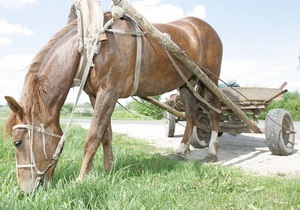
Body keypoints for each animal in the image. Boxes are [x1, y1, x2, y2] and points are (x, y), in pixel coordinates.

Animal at [3, 10, 221, 193]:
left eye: (17, 142)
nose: (25, 190)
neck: (92, 44)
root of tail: (205, 27)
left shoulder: (108, 92)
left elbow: (92, 137)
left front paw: (81, 178)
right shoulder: (96, 95)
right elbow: (105, 135)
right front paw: (107, 170)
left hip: (210, 81)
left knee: (215, 113)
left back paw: (212, 152)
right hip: (186, 83)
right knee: (192, 115)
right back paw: (181, 150)